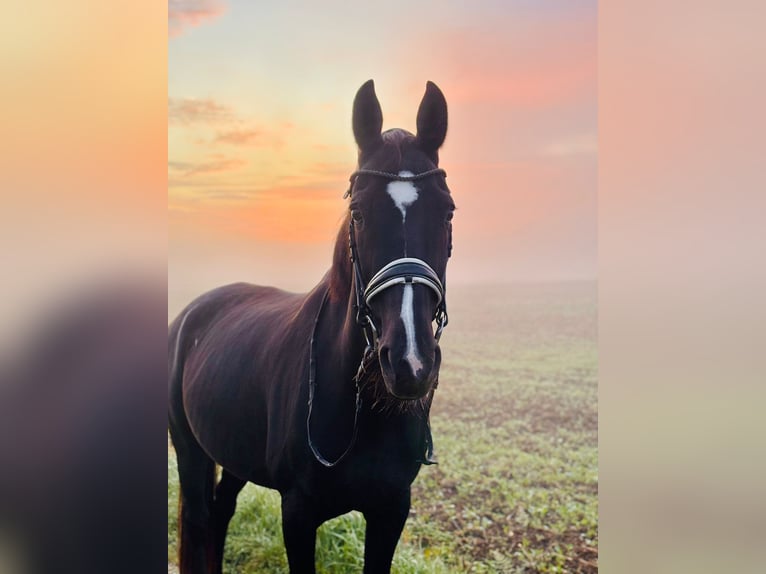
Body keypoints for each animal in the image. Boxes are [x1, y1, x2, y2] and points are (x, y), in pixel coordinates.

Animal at [168, 79, 455, 574]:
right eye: (358, 212)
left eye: (448, 212)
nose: (410, 362)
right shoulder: (298, 513)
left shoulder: (391, 508)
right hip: (190, 452)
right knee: (201, 517)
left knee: (221, 513)